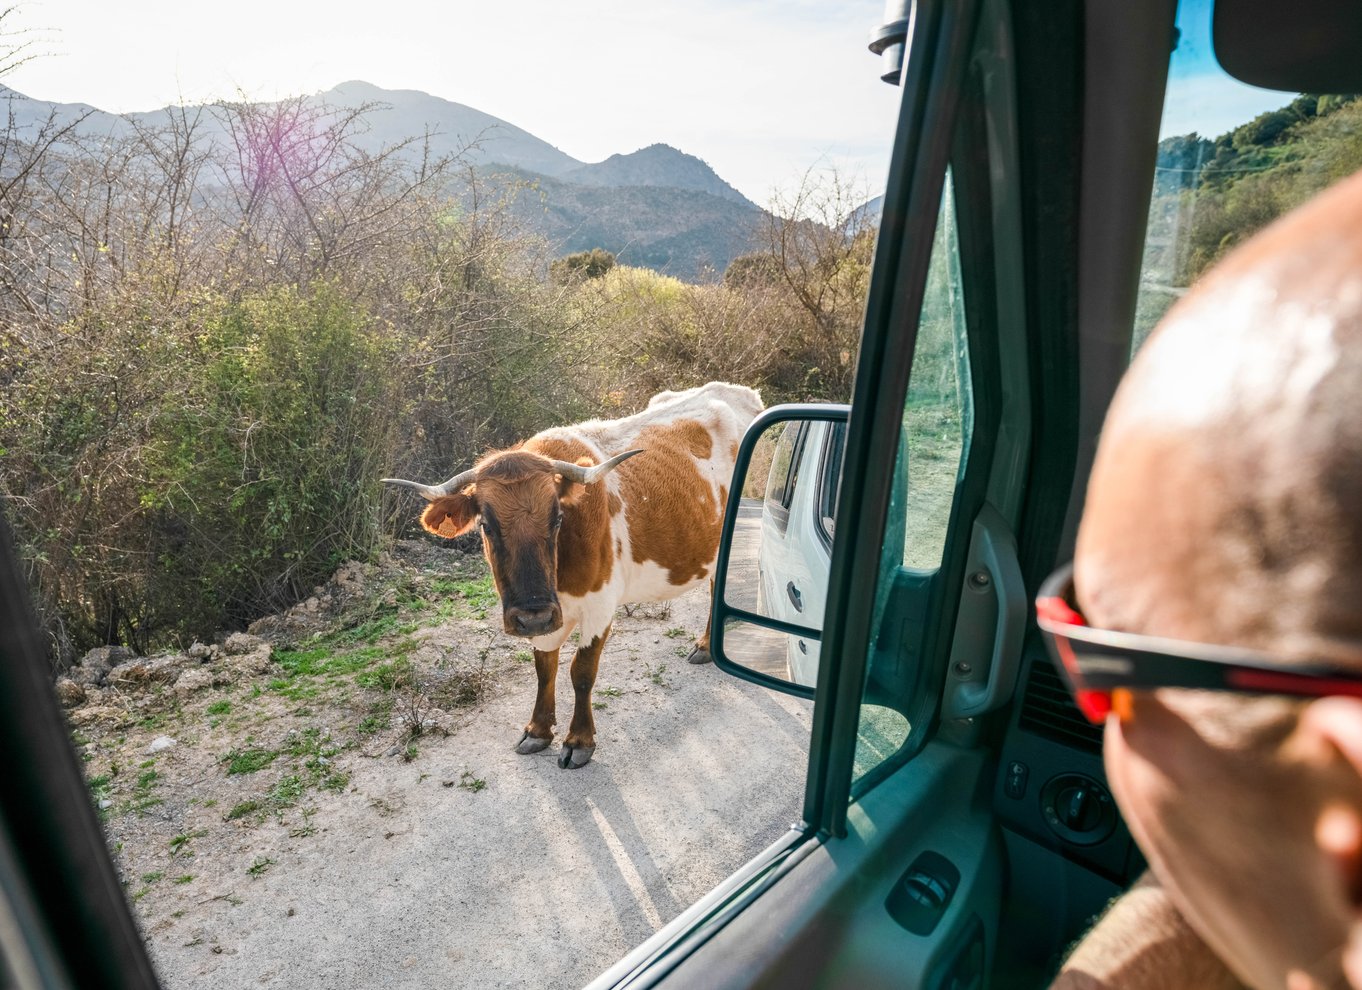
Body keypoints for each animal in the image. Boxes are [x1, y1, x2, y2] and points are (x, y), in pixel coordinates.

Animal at [381, 384, 768, 768]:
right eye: (486, 525)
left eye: (557, 519)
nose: (532, 615)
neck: (558, 578)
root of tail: (738, 390)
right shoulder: (546, 618)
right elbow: (544, 667)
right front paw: (538, 730)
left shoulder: (600, 605)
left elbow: (581, 672)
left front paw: (579, 740)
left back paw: (709, 646)